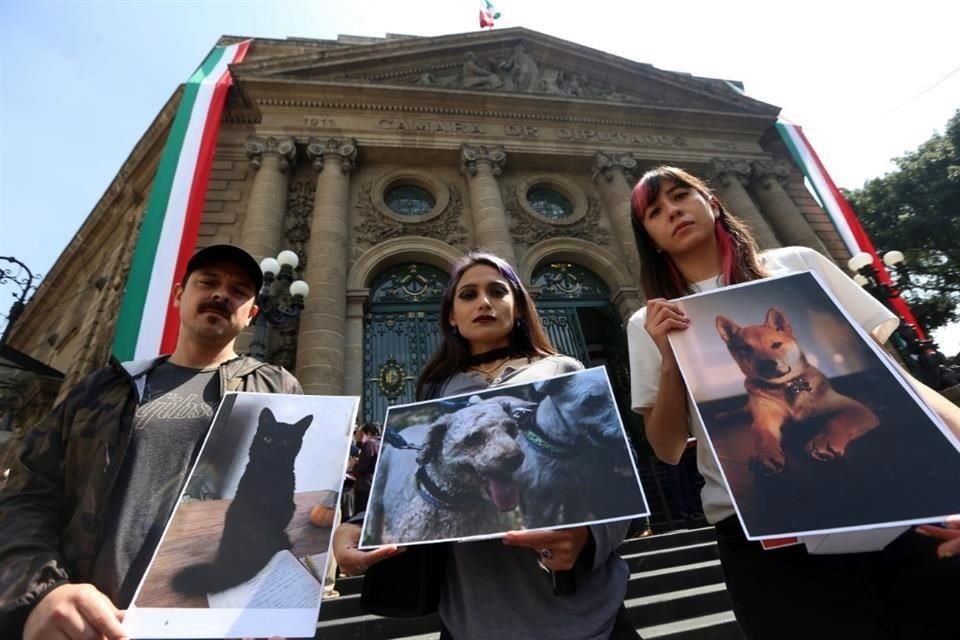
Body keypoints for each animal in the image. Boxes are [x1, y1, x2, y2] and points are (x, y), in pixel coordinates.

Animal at [712, 304, 876, 476]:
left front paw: (825, 441)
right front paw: (765, 454)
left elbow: (837, 421)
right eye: (746, 349)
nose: (767, 363)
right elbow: (763, 434)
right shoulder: (765, 417)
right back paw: (724, 416)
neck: (788, 385)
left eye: (776, 345)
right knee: (743, 410)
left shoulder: (856, 409)